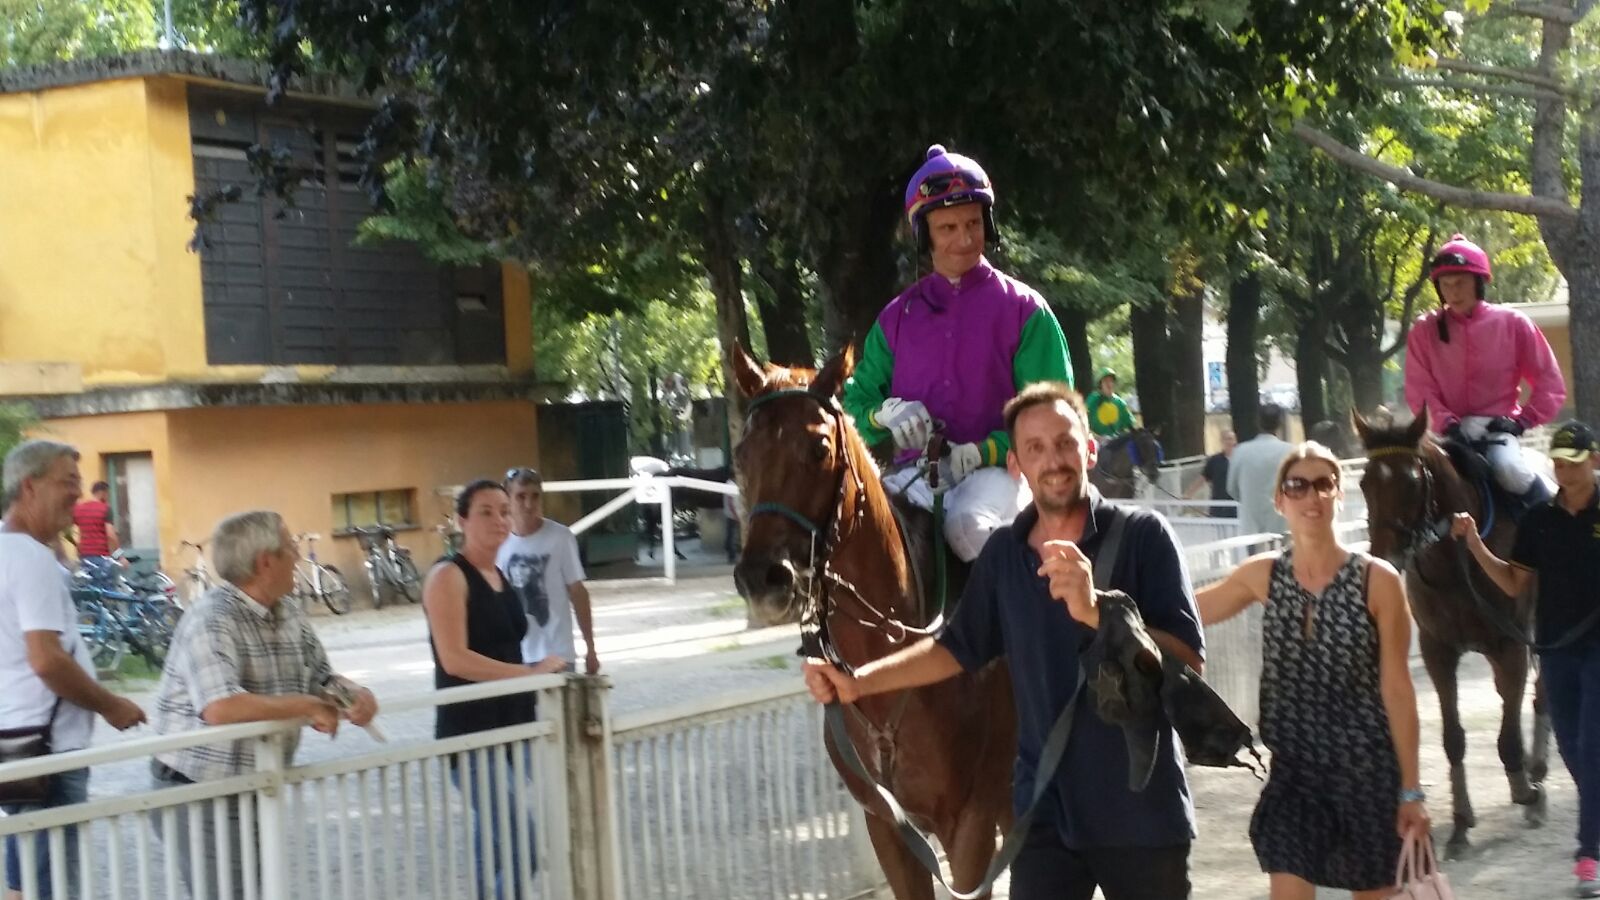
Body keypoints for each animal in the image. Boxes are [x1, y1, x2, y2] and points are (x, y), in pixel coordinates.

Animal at [1350, 408, 1548, 851]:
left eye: (1412, 482)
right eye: (1365, 482)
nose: (1383, 556)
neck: (1455, 562)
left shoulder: (1509, 642)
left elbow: (1507, 735)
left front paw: (1526, 792)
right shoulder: (1437, 649)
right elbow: (1453, 737)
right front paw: (1460, 822)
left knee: (1540, 694)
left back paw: (1537, 770)